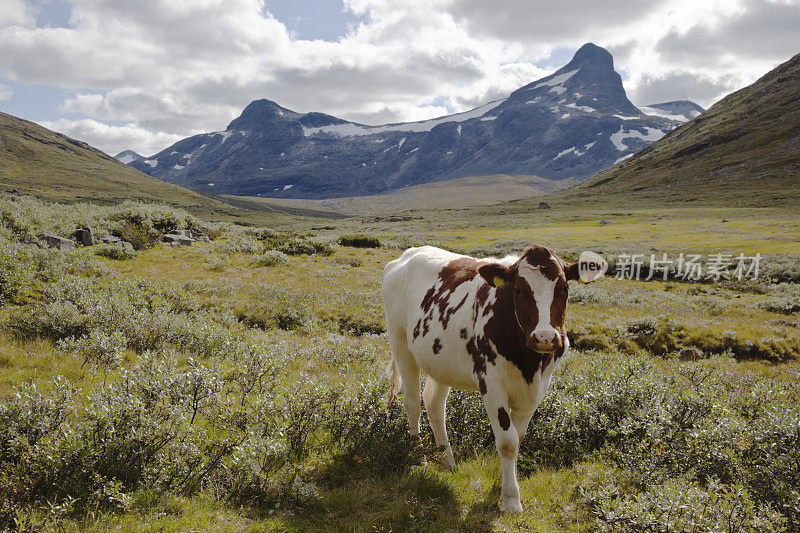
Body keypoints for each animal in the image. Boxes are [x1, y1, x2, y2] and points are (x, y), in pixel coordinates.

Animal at [380, 244, 600, 512]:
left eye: (564, 289)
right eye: (518, 290)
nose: (545, 337)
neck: (528, 362)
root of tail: (407, 254)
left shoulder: (537, 390)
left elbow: (518, 437)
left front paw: (503, 484)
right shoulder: (491, 385)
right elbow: (507, 441)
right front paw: (511, 500)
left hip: (440, 359)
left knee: (433, 403)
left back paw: (447, 460)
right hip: (400, 343)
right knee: (412, 402)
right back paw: (419, 456)